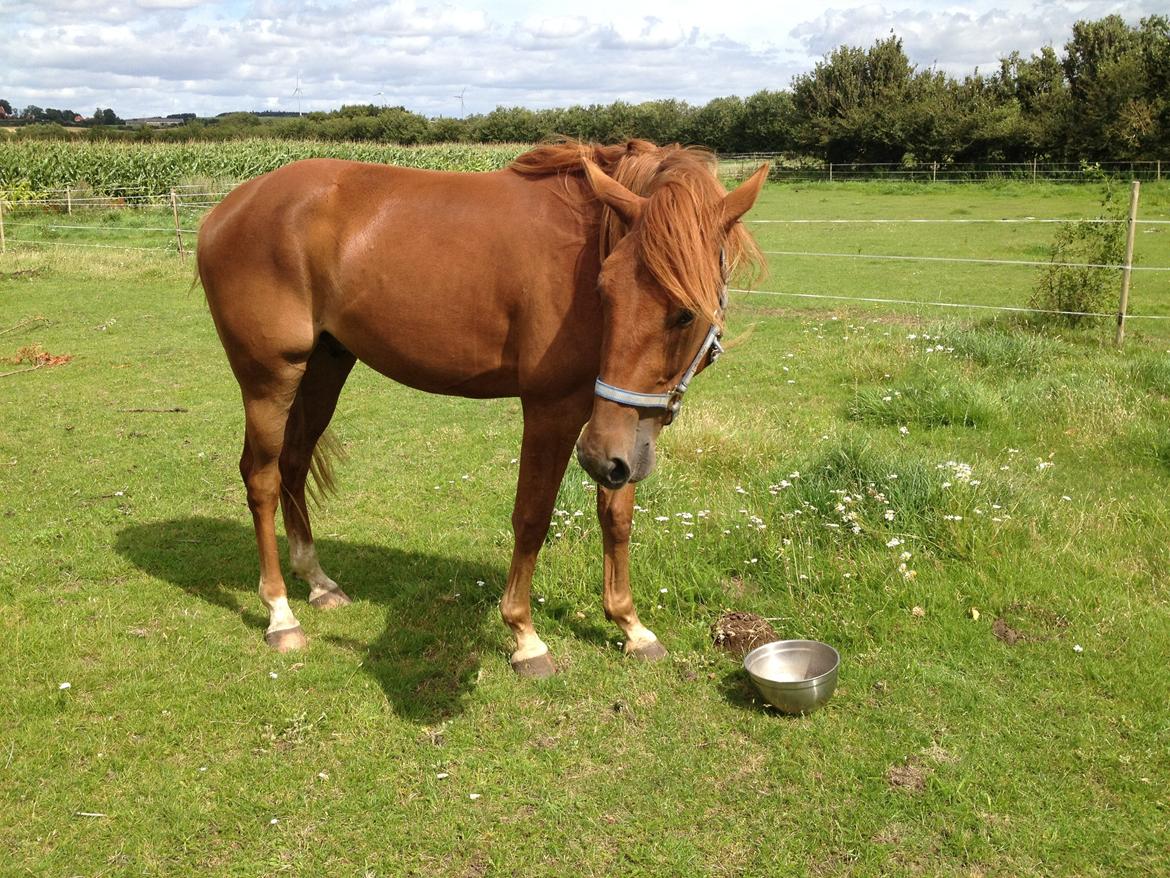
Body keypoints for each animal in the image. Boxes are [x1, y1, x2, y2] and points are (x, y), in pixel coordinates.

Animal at [195, 139, 767, 678]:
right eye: (605, 290)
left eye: (684, 313)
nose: (600, 459)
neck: (587, 243)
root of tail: (225, 210)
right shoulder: (554, 410)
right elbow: (532, 516)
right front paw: (525, 637)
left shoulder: (618, 427)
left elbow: (617, 516)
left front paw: (631, 626)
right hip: (270, 378)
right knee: (262, 478)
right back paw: (280, 614)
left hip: (324, 368)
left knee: (292, 464)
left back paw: (317, 582)